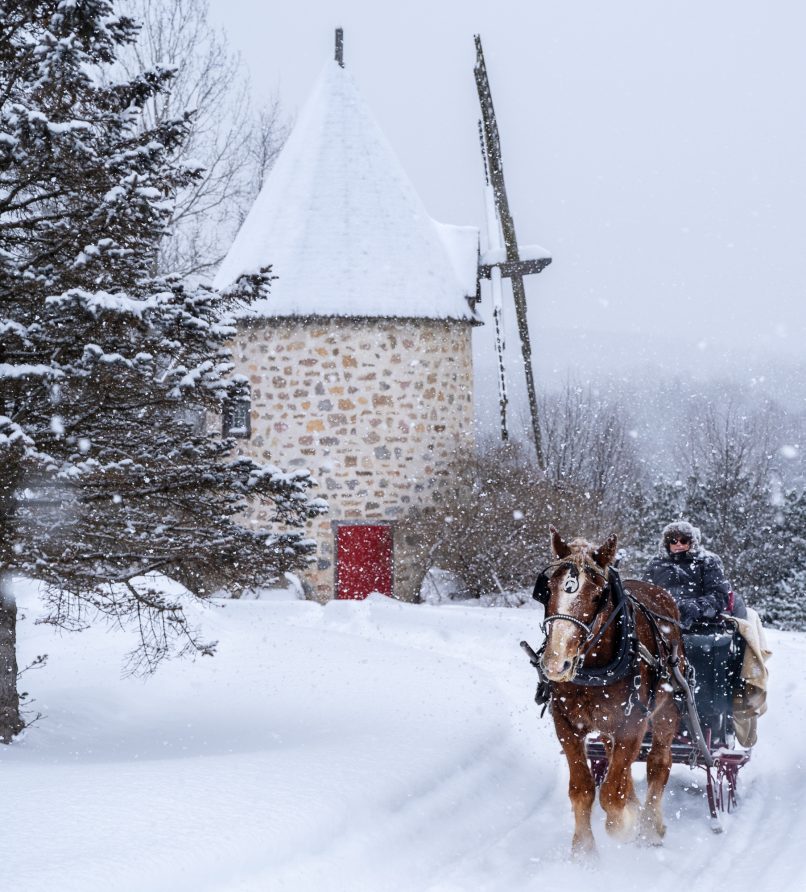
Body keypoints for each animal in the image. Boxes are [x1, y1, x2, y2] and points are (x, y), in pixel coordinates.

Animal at [536, 528, 688, 852]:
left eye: (597, 596)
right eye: (548, 589)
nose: (556, 662)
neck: (595, 666)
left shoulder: (633, 724)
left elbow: (612, 794)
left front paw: (625, 825)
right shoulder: (566, 724)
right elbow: (582, 788)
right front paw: (583, 851)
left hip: (667, 712)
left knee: (658, 764)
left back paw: (650, 826)